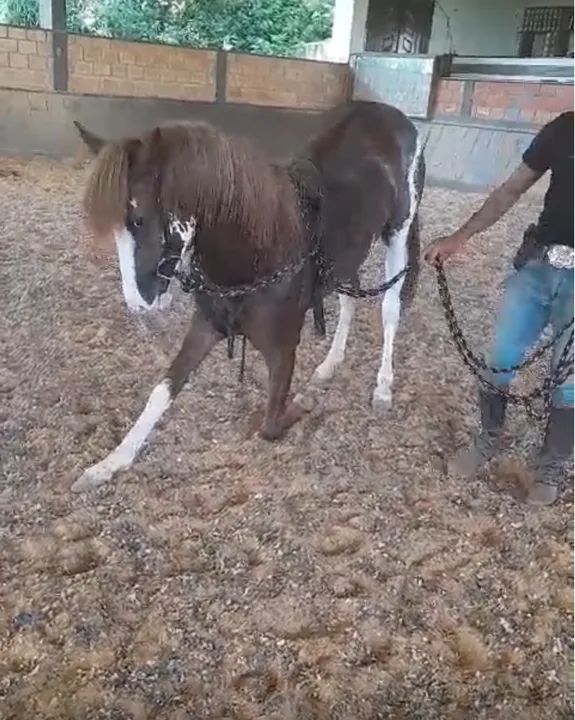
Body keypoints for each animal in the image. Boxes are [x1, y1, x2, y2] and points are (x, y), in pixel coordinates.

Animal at [71, 101, 425, 492]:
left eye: (139, 219)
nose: (139, 302)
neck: (256, 255)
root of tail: (393, 116)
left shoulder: (283, 351)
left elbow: (271, 425)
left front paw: (304, 402)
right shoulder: (206, 327)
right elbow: (162, 391)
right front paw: (108, 464)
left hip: (399, 234)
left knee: (389, 311)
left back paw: (383, 388)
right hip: (347, 255)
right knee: (348, 298)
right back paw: (328, 366)